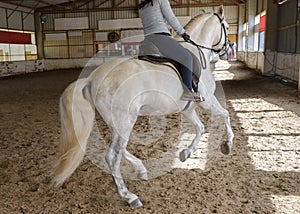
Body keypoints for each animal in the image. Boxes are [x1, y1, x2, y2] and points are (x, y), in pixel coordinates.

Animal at [52, 5, 233, 208]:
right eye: (226, 27)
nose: (228, 51)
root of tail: (91, 78)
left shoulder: (187, 109)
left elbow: (200, 128)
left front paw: (186, 152)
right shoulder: (208, 100)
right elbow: (225, 114)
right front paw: (228, 145)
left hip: (118, 123)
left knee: (120, 149)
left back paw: (141, 170)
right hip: (125, 120)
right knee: (112, 156)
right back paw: (130, 196)